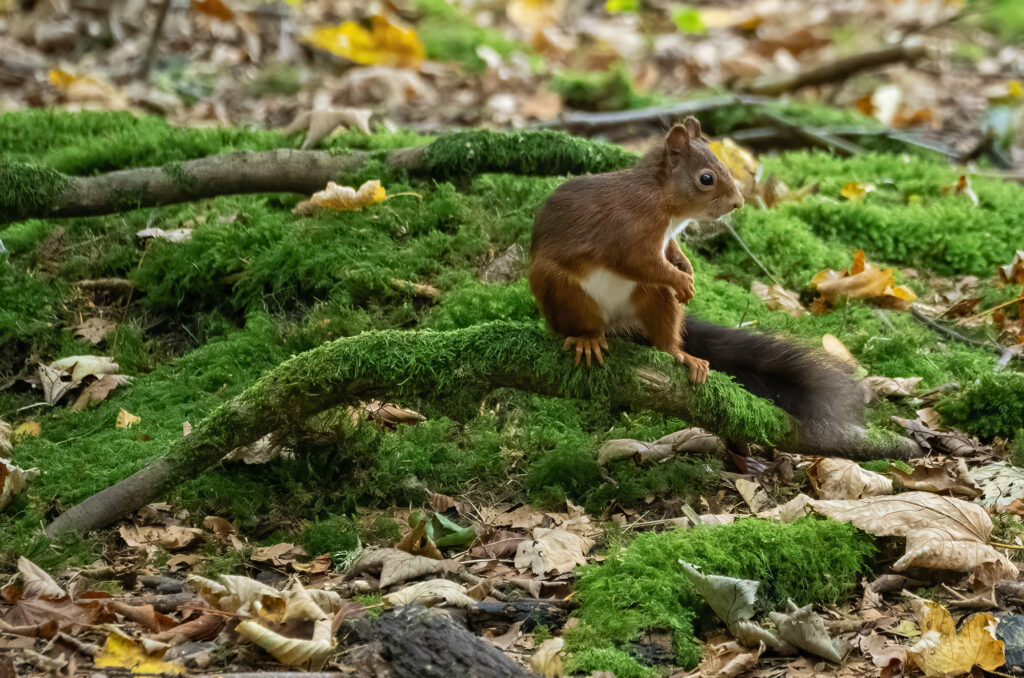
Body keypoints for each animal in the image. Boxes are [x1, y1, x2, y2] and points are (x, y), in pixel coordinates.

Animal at [529, 117, 871, 456]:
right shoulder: (627, 231)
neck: (663, 201)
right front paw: (681, 278)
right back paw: (587, 338)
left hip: (651, 296)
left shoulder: (665, 239)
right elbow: (638, 261)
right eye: (706, 178)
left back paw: (681, 355)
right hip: (560, 288)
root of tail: (615, 323)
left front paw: (687, 268)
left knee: (663, 329)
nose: (738, 203)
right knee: (579, 321)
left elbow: (671, 253)